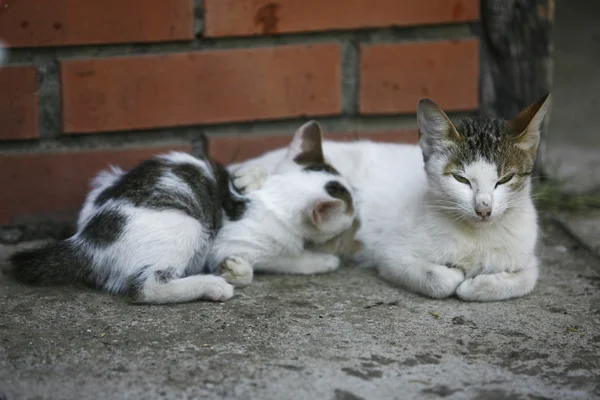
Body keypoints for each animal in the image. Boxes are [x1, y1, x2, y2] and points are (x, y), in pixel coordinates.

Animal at [10, 122, 356, 304]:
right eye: (352, 217)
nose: (358, 222)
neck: (271, 197)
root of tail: (86, 240)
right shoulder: (230, 244)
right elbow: (285, 259)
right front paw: (322, 260)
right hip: (188, 225)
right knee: (146, 288)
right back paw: (210, 285)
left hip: (106, 179)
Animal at [230, 93, 552, 300]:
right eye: (461, 179)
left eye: (505, 179)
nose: (484, 209)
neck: (475, 238)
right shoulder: (390, 254)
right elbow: (438, 280)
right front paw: (457, 279)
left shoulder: (527, 257)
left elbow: (526, 280)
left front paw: (480, 285)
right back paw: (250, 177)